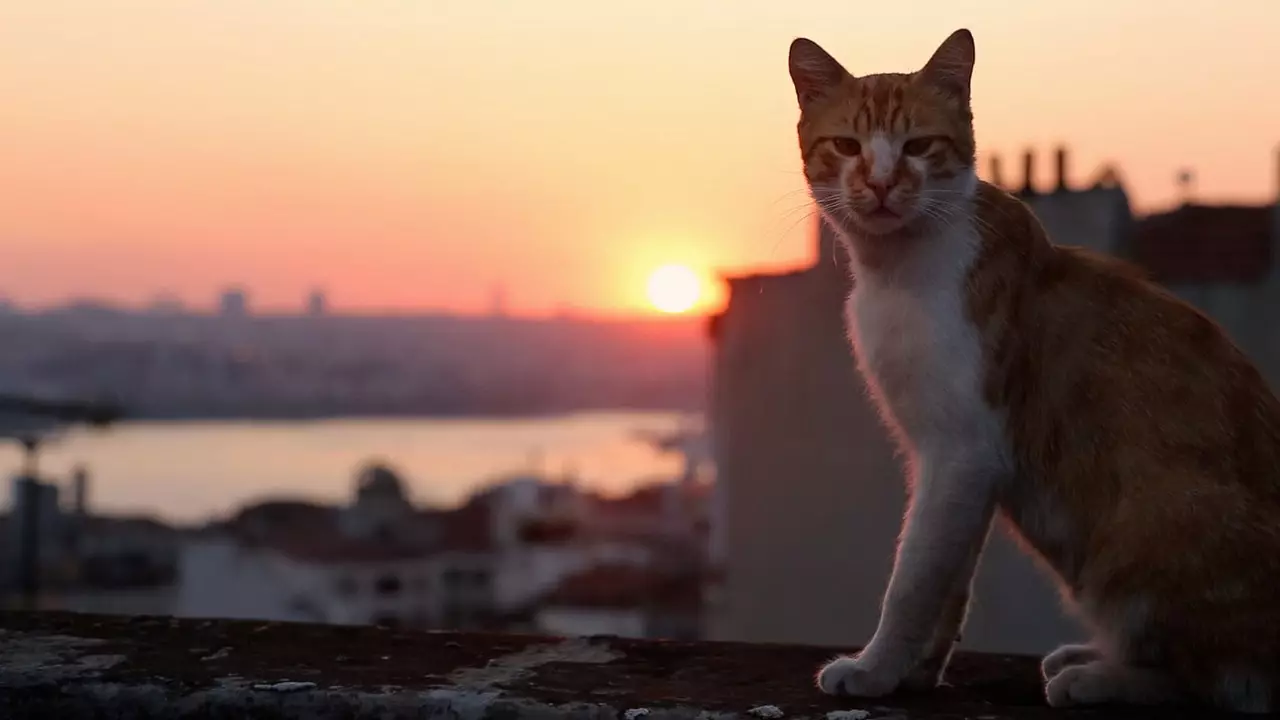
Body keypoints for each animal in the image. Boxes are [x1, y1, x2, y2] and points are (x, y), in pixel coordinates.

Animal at [788, 28, 1280, 712]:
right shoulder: (954, 463)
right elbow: (947, 578)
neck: (897, 273)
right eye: (847, 146)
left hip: (1159, 516)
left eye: (918, 146)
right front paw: (916, 672)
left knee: (1219, 680)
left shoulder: (962, 448)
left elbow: (913, 580)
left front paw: (874, 668)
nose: (882, 183)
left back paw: (1099, 676)